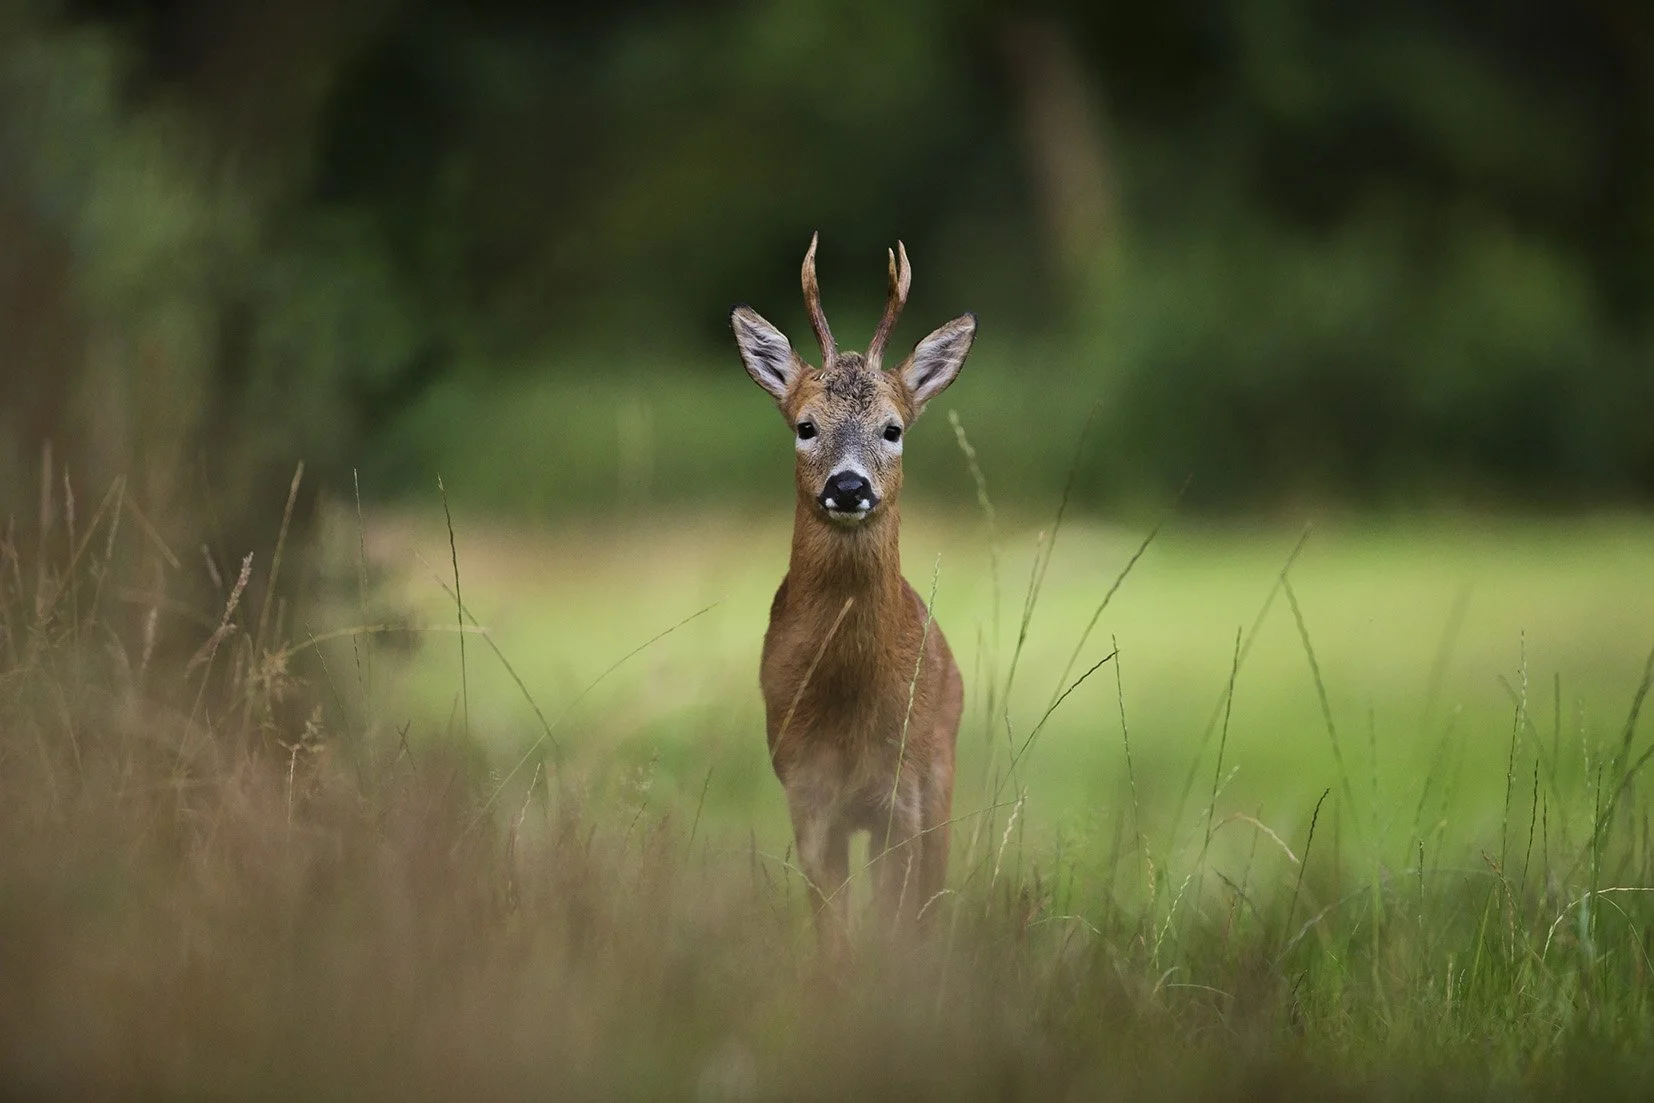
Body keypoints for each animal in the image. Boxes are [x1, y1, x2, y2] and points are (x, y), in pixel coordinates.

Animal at [730, 233, 976, 958]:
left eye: (893, 429)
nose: (847, 486)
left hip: (941, 774)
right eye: (805, 426)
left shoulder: (904, 797)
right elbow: (833, 932)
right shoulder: (807, 792)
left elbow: (896, 921)